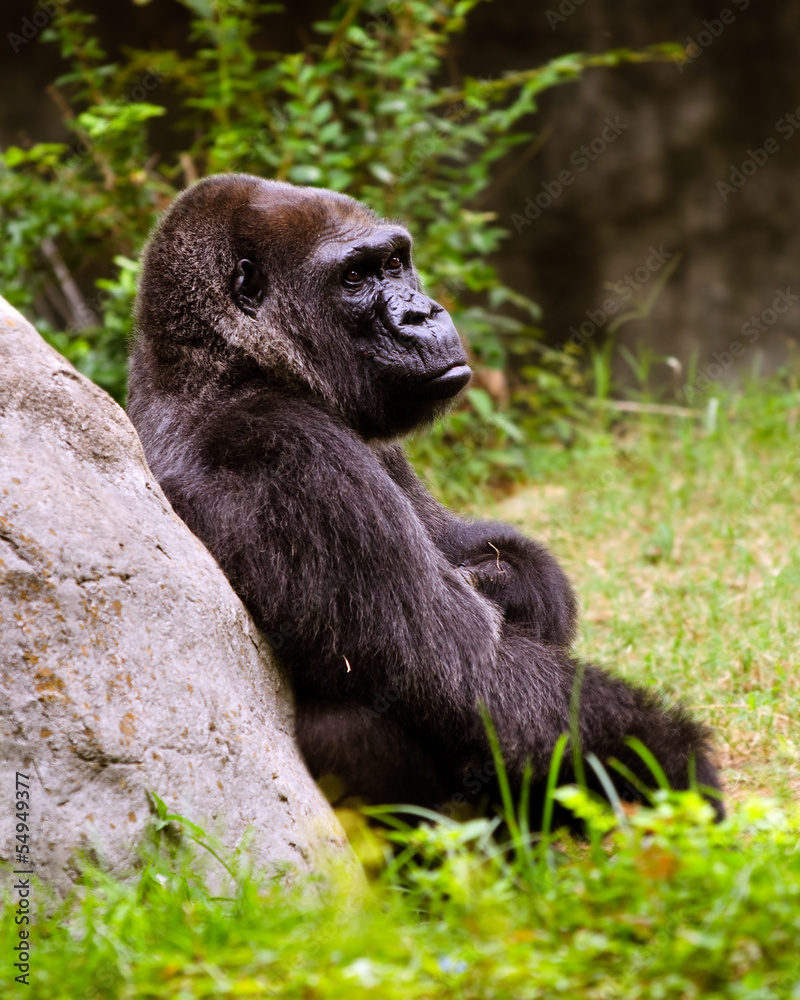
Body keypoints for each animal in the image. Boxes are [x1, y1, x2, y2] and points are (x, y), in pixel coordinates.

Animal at [127, 173, 723, 826]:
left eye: (394, 262)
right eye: (354, 278)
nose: (422, 311)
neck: (229, 361)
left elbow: (488, 558)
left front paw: (509, 579)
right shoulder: (287, 449)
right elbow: (470, 676)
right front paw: (668, 763)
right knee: (351, 722)